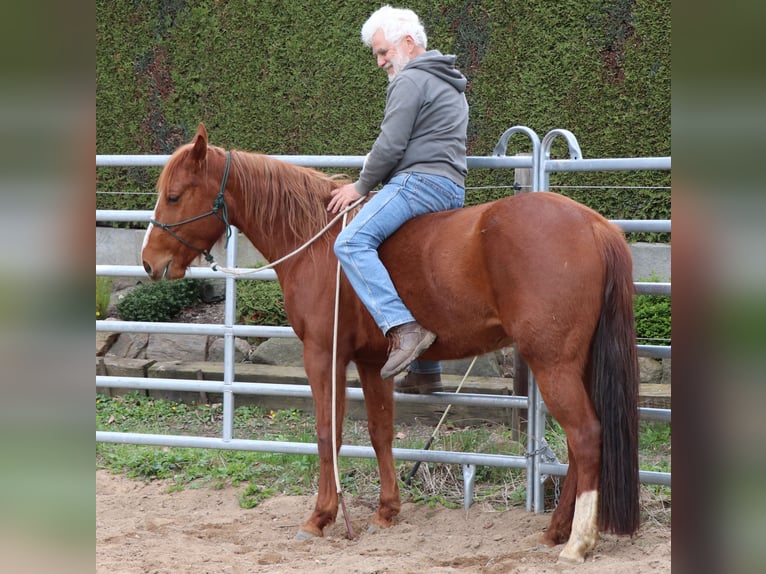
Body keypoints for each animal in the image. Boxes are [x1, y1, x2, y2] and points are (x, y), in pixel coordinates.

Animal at [141, 123, 640, 563]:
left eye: (174, 195)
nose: (148, 262)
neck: (317, 242)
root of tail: (596, 226)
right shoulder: (371, 361)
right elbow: (381, 432)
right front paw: (386, 511)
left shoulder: (323, 355)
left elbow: (327, 432)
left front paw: (320, 517)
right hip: (576, 363)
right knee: (578, 444)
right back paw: (555, 532)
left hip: (552, 362)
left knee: (585, 436)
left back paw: (577, 543)